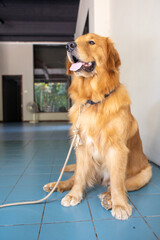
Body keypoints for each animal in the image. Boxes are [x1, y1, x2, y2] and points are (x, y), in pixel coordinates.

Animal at [43, 33, 152, 219]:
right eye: (76, 41)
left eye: (92, 42)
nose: (69, 45)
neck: (93, 101)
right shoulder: (82, 146)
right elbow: (79, 177)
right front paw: (74, 195)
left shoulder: (117, 149)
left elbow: (117, 182)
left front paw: (120, 205)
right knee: (77, 176)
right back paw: (58, 185)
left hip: (144, 174)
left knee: (117, 185)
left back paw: (108, 199)